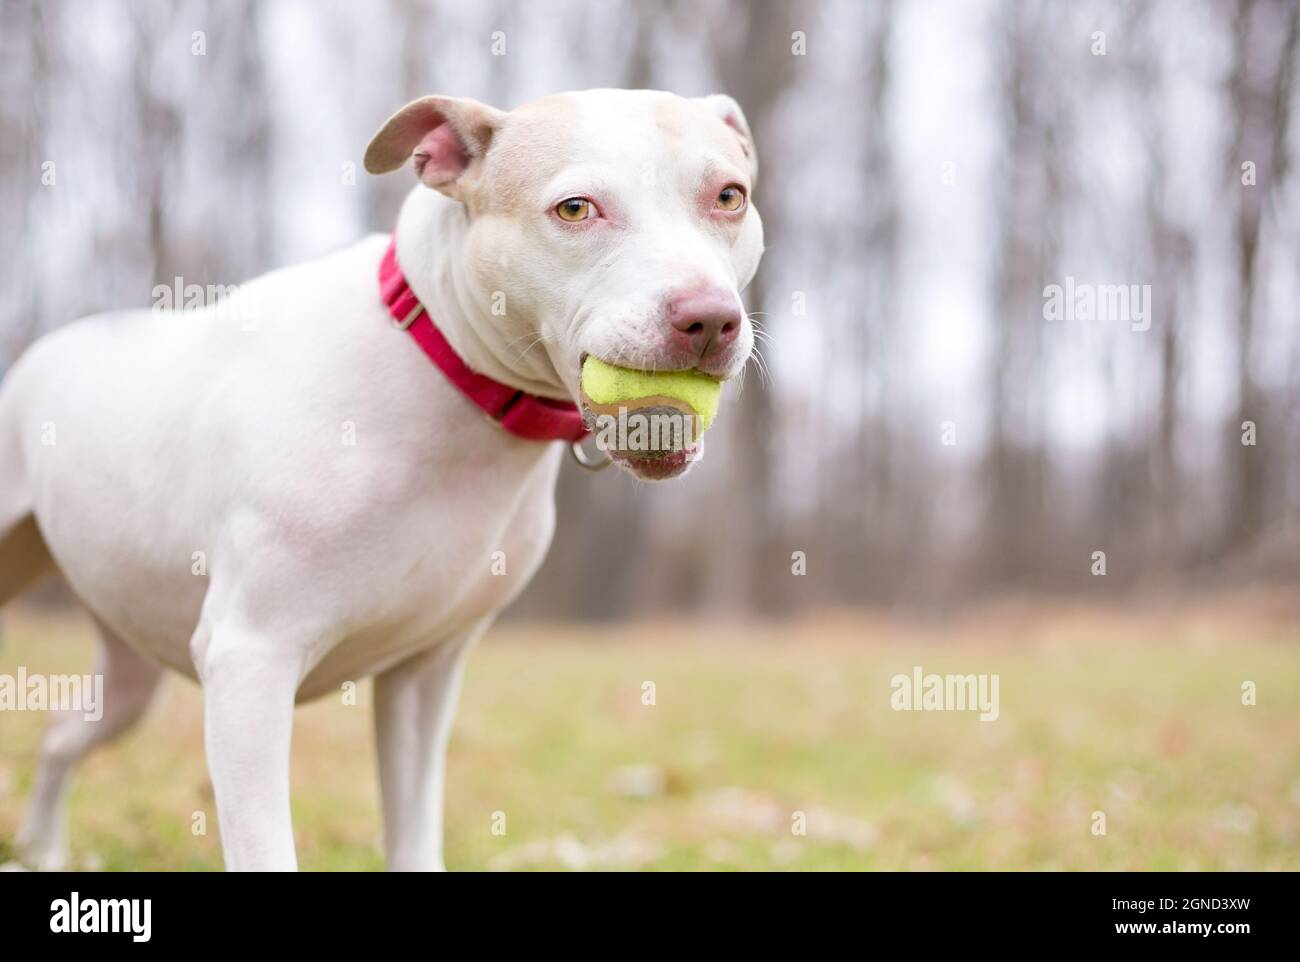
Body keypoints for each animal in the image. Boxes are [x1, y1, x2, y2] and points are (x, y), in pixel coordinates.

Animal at [0, 90, 759, 873]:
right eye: (576, 209)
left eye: (729, 197)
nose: (708, 319)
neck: (447, 370)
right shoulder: (251, 659)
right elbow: (265, 844)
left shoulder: (423, 675)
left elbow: (414, 829)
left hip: (130, 667)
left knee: (61, 736)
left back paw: (43, 849)